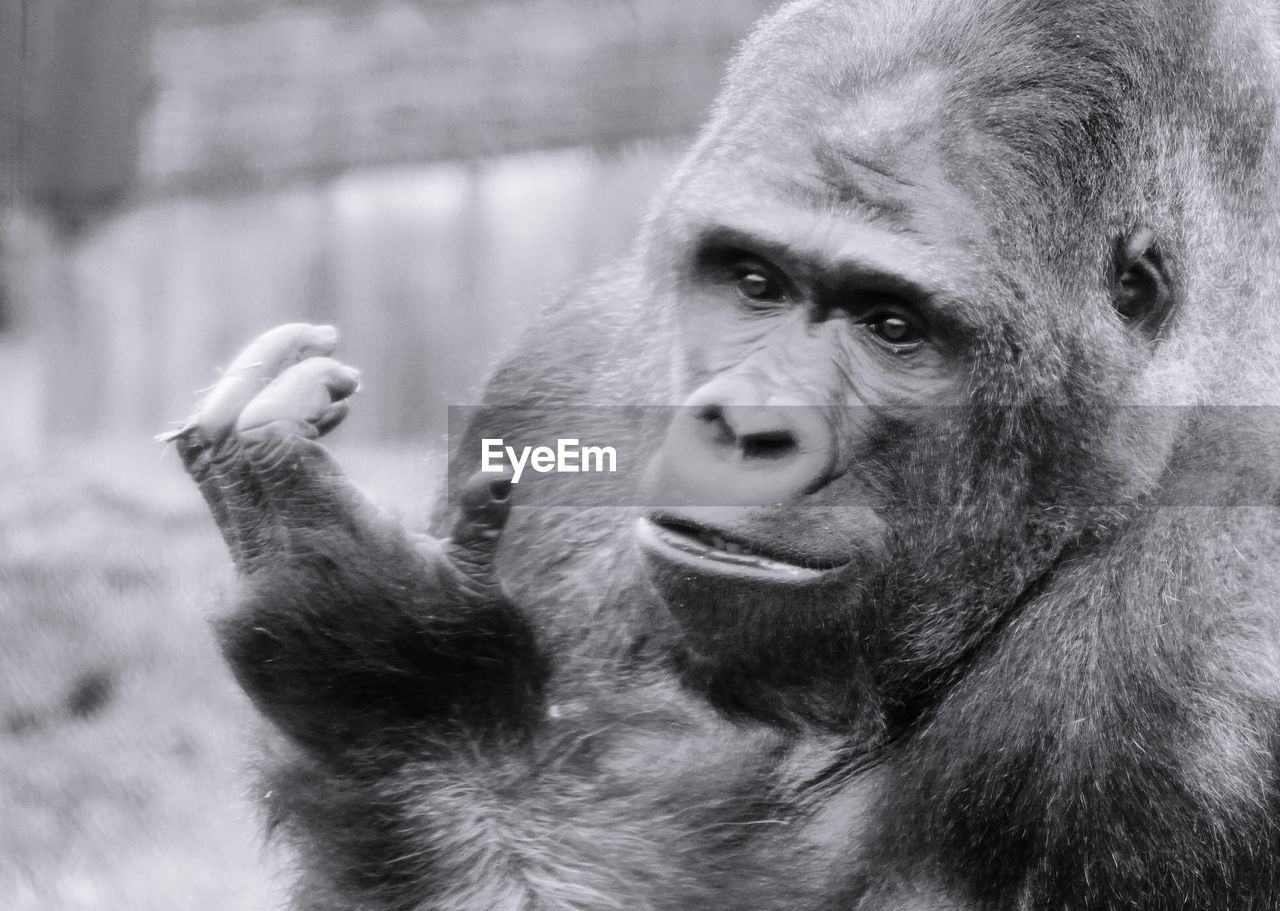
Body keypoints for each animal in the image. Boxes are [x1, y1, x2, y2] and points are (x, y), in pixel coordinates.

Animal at [170, 0, 1280, 905]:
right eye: (753, 281)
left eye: (892, 325)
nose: (750, 428)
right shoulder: (557, 378)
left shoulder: (1203, 659)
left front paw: (395, 688)